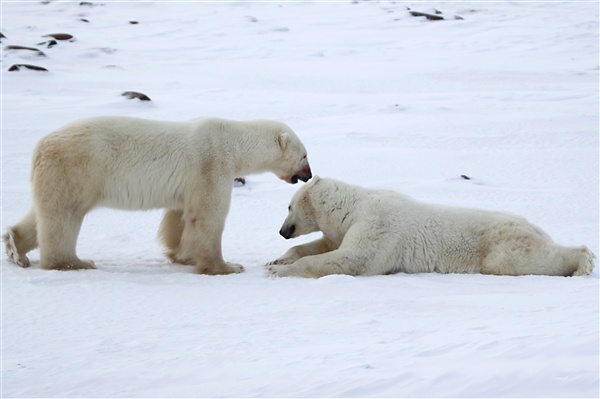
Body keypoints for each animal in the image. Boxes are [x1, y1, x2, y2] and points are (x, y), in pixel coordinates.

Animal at [4, 115, 312, 276]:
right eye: (305, 155)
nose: (309, 174)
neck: (233, 141)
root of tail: (39, 148)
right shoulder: (211, 163)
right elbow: (208, 215)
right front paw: (226, 266)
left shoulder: (189, 182)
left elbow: (180, 216)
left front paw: (182, 255)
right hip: (77, 168)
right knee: (64, 215)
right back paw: (74, 262)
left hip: (57, 174)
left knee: (43, 213)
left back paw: (15, 248)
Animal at [266, 177, 596, 278]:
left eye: (288, 207)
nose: (282, 230)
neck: (354, 206)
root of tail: (536, 227)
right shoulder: (346, 227)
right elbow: (327, 245)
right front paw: (276, 260)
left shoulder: (378, 225)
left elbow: (353, 259)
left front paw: (280, 272)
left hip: (503, 243)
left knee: (524, 260)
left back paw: (582, 262)